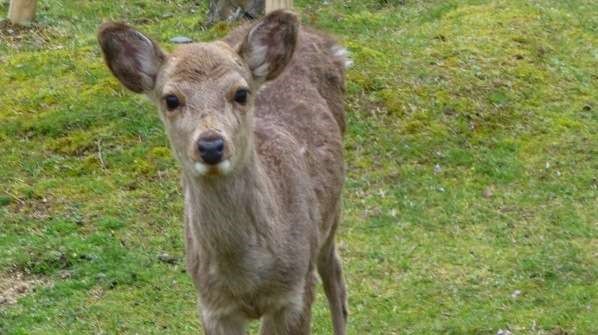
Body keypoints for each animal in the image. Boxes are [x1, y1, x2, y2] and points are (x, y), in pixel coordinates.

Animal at [99, 10, 352, 335]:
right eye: (171, 99)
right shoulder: (212, 305)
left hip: (328, 219)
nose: (211, 145)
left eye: (241, 93)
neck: (246, 277)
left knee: (335, 276)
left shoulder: (294, 294)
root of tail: (321, 38)